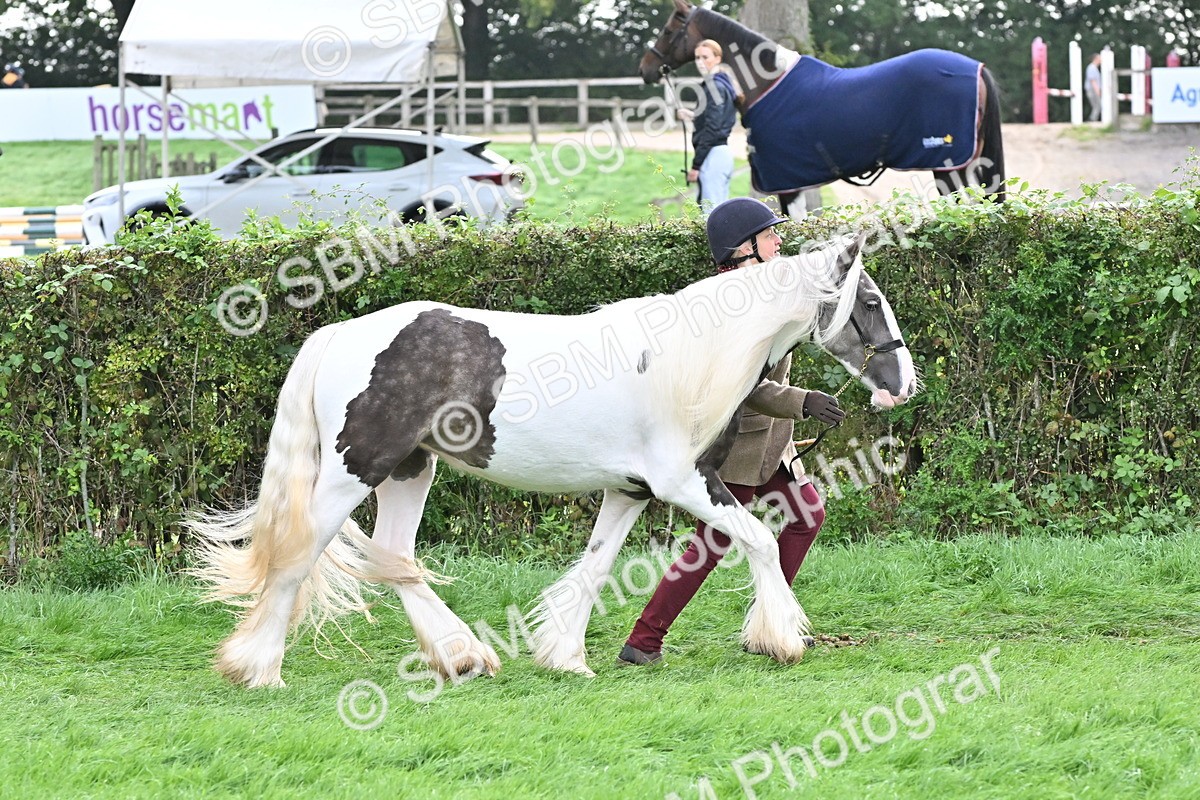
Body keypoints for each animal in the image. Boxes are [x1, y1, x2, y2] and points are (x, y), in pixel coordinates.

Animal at [187, 235, 918, 688]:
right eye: (870, 302)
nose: (904, 383)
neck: (693, 357)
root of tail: (340, 335)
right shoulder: (686, 482)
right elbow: (762, 541)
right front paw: (782, 638)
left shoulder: (630, 491)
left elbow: (594, 570)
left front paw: (565, 657)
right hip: (351, 471)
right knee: (299, 554)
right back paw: (260, 670)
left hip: (409, 470)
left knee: (392, 556)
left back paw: (463, 657)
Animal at [639, 0, 1006, 215]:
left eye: (668, 30)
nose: (645, 69)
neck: (767, 82)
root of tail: (977, 69)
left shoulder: (786, 184)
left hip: (948, 167)